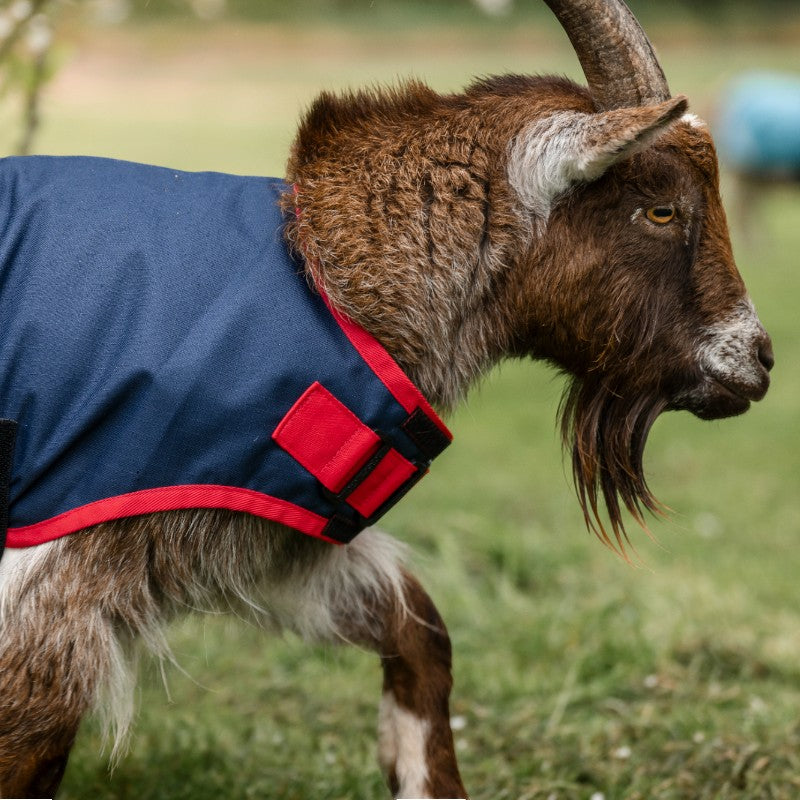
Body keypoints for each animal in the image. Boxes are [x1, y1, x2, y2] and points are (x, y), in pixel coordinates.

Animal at [0, 0, 774, 797]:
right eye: (661, 209)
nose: (759, 359)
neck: (327, 277)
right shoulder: (62, 559)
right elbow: (34, 733)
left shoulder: (264, 530)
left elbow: (418, 624)